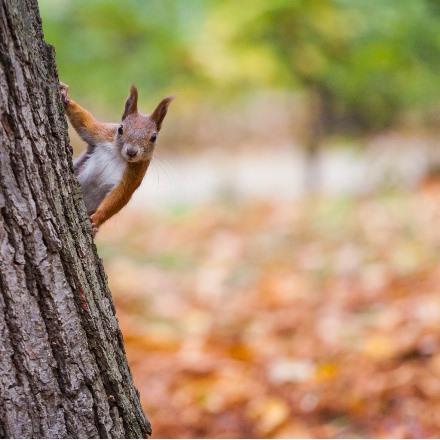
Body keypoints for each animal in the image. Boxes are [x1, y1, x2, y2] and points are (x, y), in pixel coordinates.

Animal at [59, 82, 173, 234]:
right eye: (120, 129)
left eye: (153, 137)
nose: (132, 152)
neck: (118, 155)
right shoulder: (102, 134)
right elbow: (85, 123)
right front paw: (65, 95)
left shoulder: (134, 175)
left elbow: (119, 196)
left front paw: (97, 220)